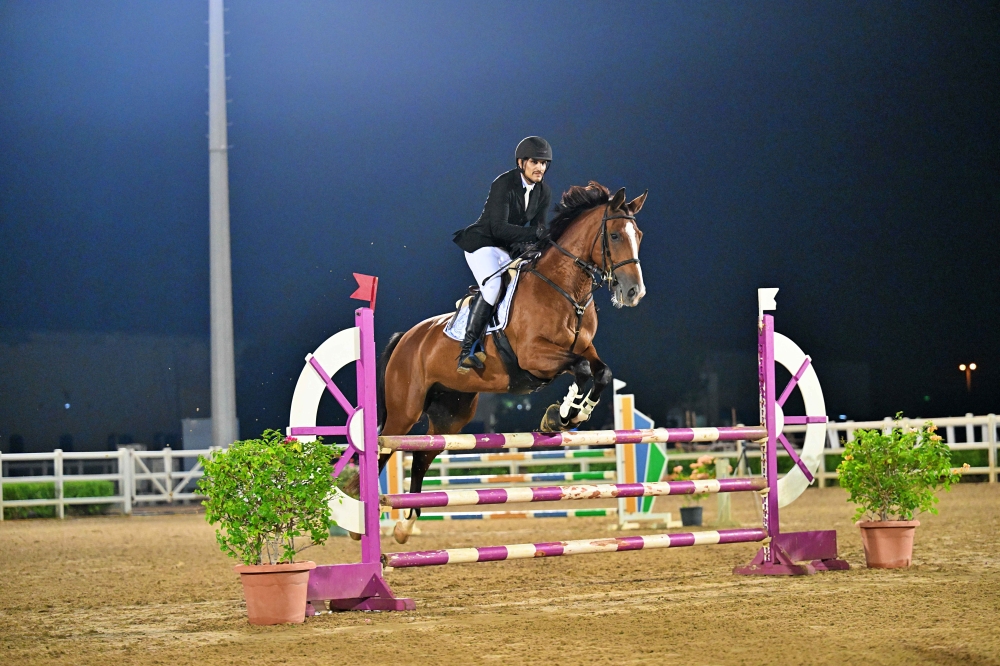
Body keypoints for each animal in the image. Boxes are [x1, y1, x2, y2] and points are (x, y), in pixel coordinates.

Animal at [378, 181, 647, 543]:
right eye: (615, 235)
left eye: (639, 235)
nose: (634, 292)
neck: (566, 290)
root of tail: (405, 338)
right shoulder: (535, 355)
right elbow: (581, 369)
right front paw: (561, 415)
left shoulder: (584, 347)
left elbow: (601, 372)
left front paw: (575, 414)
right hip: (404, 413)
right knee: (383, 449)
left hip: (451, 415)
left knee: (421, 456)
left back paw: (405, 526)